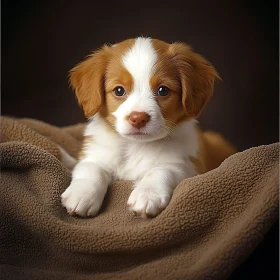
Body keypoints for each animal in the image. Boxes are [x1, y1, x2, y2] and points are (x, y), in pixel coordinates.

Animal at [61, 36, 236, 218]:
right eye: (119, 90)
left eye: (163, 90)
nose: (138, 118)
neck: (136, 146)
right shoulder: (96, 154)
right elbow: (90, 168)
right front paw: (81, 194)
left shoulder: (186, 166)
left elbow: (161, 170)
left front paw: (147, 193)